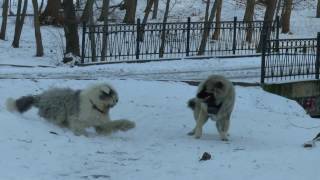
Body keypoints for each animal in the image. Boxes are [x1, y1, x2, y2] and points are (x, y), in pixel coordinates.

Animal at [6, 83, 136, 136]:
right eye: (112, 95)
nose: (117, 100)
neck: (94, 105)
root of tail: (40, 97)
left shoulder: (101, 124)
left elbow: (114, 124)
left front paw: (129, 124)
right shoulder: (77, 118)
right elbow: (78, 125)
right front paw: (82, 134)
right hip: (59, 109)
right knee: (54, 120)